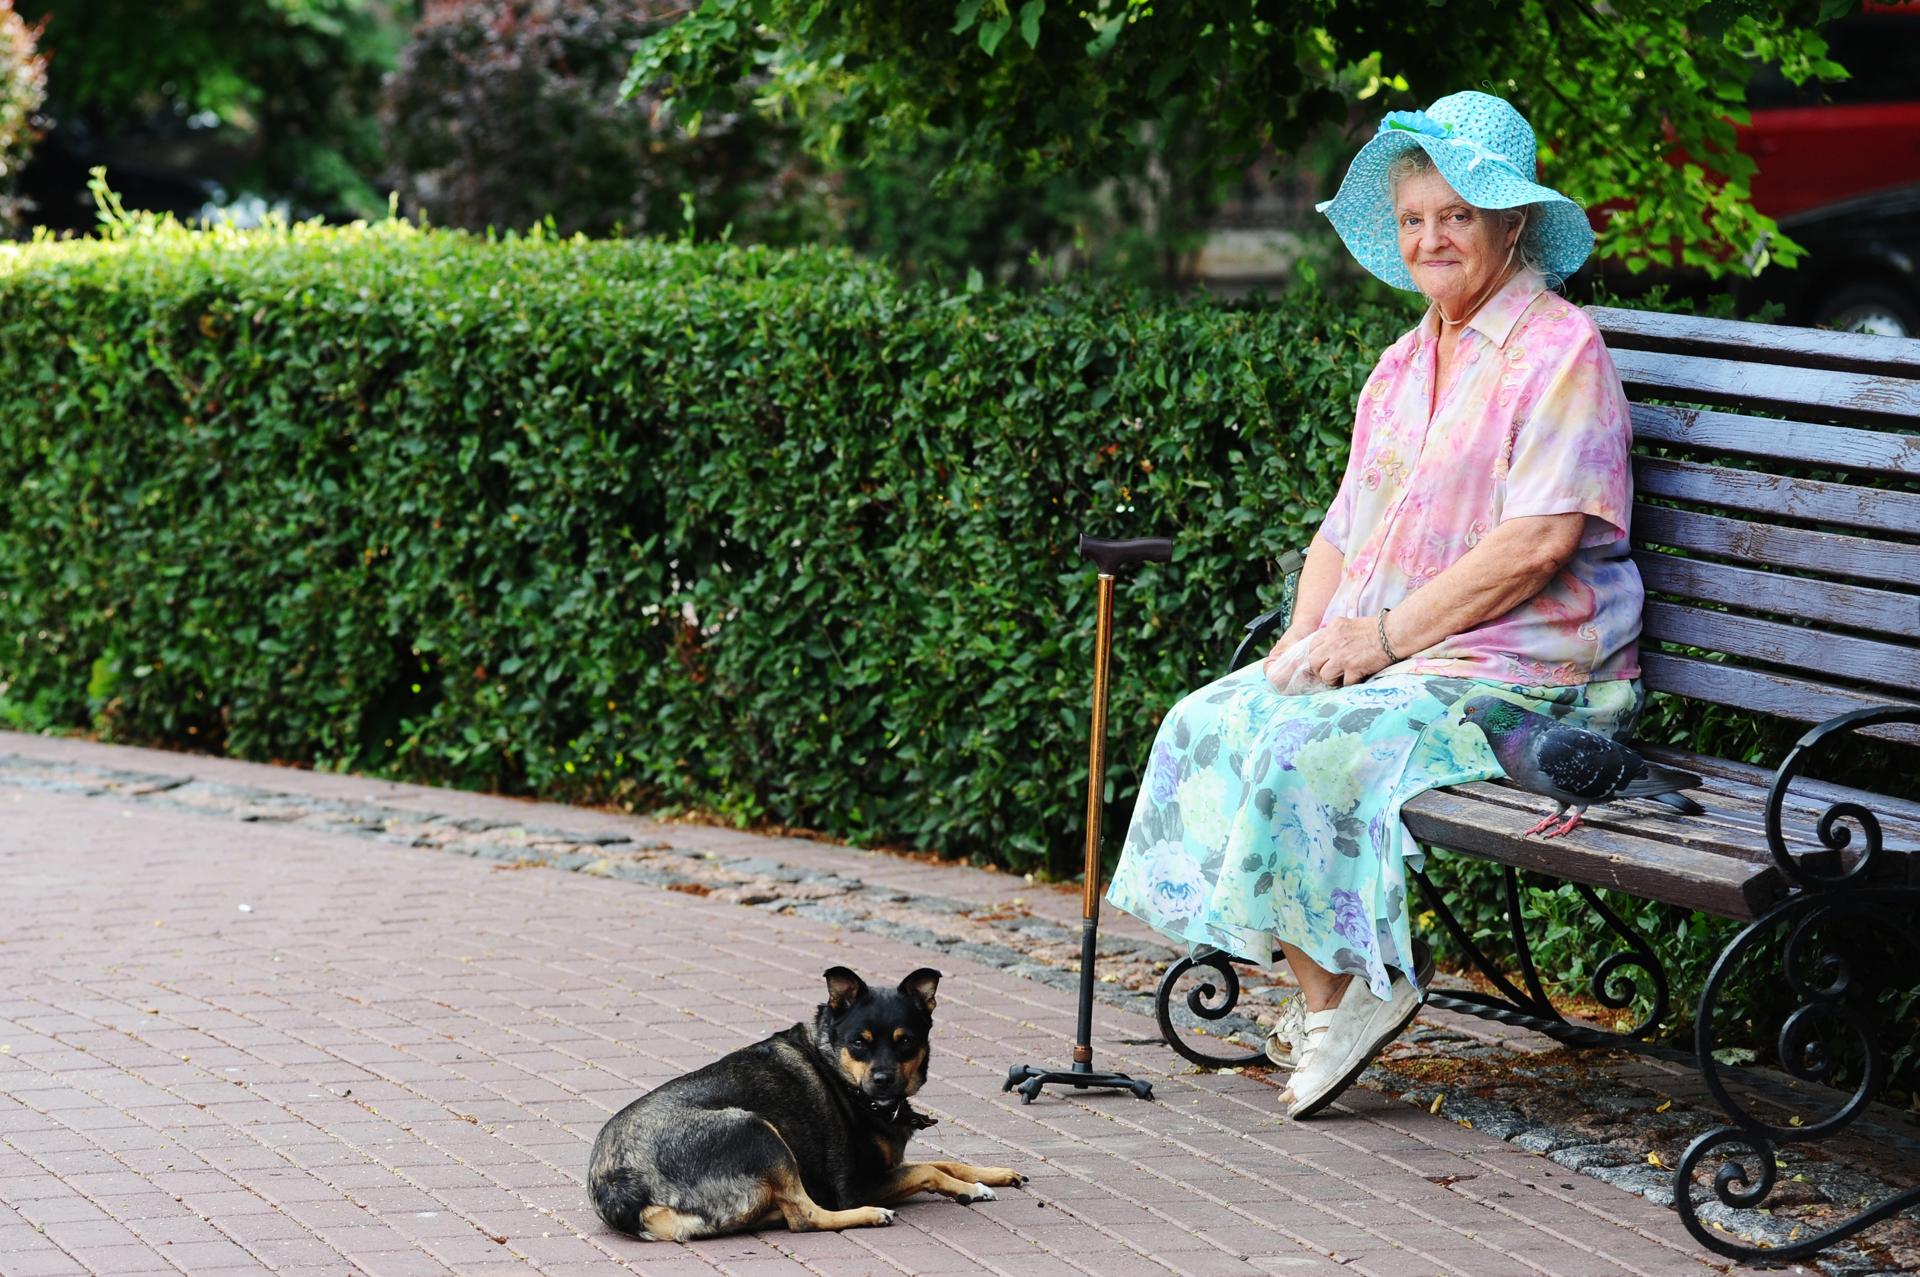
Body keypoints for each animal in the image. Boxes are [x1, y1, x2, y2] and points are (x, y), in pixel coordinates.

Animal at [587, 967, 1021, 1236]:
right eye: (859, 1043)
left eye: (905, 1042)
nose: (882, 1080)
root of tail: (621, 1188)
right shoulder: (856, 1185)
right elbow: (929, 1170)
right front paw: (971, 1189)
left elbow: (945, 1161)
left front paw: (992, 1173)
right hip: (758, 1132)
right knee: (805, 1217)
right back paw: (869, 1215)